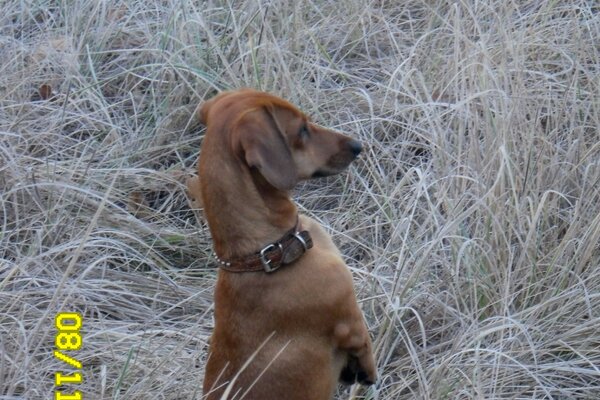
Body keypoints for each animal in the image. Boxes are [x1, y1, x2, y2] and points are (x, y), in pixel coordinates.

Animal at [188, 89, 376, 400]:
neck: (265, 255)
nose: (357, 145)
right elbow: (363, 342)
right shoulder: (350, 321)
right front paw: (366, 371)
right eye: (301, 129)